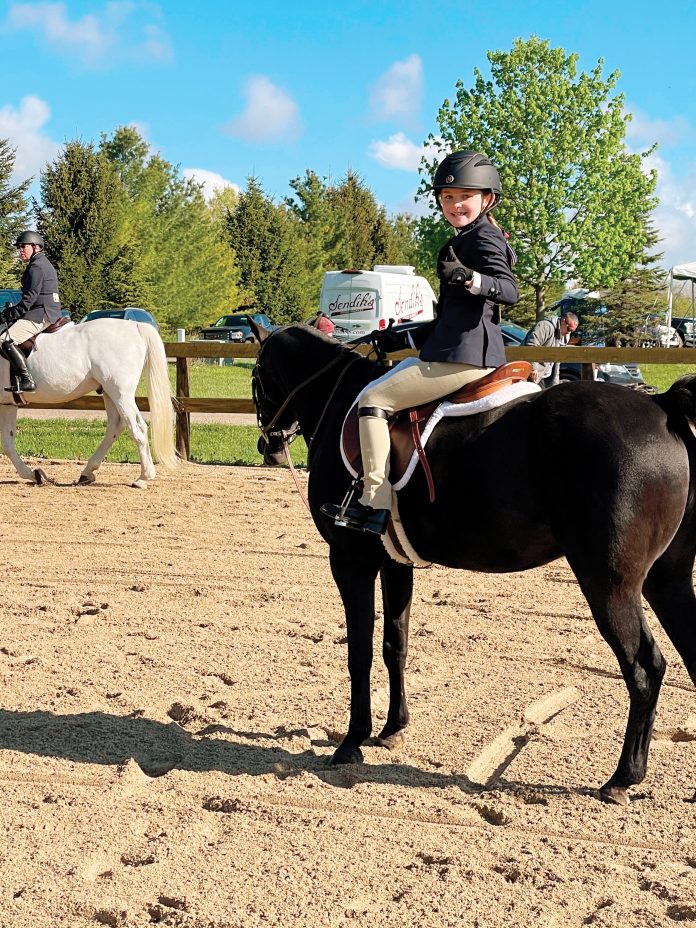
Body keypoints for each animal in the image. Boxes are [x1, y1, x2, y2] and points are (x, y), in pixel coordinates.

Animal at [0, 318, 179, 488]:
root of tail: (135, 326)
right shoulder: (7, 405)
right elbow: (8, 443)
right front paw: (34, 475)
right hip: (109, 393)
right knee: (115, 427)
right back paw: (87, 473)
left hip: (121, 393)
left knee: (138, 428)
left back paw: (143, 478)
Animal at [251, 321, 696, 806]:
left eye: (255, 376)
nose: (267, 444)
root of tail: (660, 406)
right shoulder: (394, 563)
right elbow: (394, 644)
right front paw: (392, 729)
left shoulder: (350, 561)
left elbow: (359, 652)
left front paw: (352, 742)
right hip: (667, 581)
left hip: (610, 584)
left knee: (643, 669)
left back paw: (622, 778)